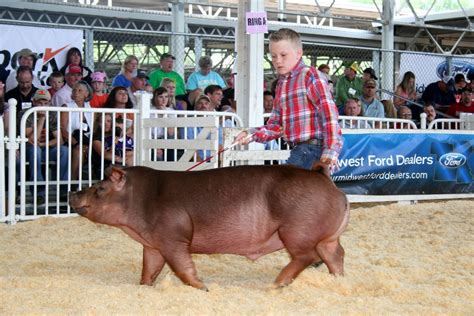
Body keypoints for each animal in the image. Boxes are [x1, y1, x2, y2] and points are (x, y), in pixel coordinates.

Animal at [71, 165, 352, 292]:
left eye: (100, 188)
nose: (71, 193)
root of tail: (325, 178)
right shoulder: (152, 245)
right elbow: (149, 269)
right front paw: (144, 287)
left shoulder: (173, 237)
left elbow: (182, 267)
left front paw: (203, 288)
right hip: (326, 237)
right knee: (336, 254)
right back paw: (337, 279)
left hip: (296, 230)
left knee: (307, 256)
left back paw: (275, 285)